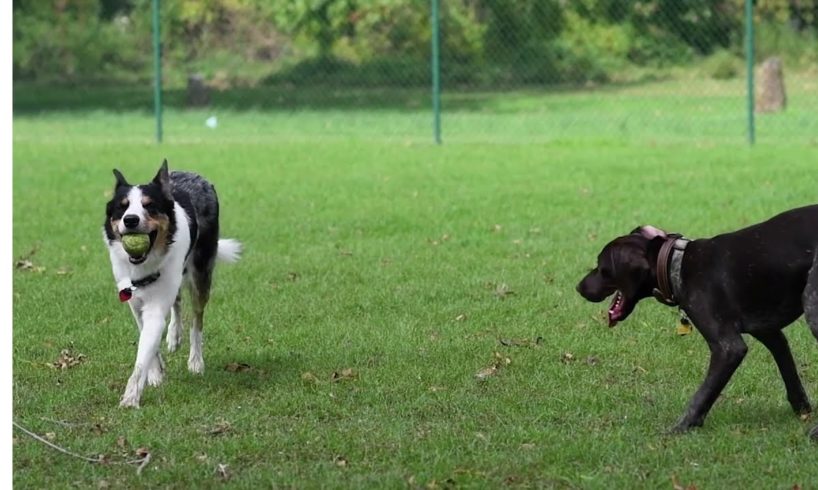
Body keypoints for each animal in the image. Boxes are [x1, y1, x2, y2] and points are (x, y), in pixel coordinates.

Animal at [104, 160, 239, 406]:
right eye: (123, 207)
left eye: (149, 206)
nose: (130, 220)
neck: (145, 265)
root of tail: (195, 175)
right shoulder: (134, 302)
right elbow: (147, 340)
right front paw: (156, 373)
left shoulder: (156, 306)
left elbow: (144, 352)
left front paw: (131, 397)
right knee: (177, 300)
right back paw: (174, 335)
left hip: (201, 272)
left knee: (197, 319)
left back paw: (196, 361)